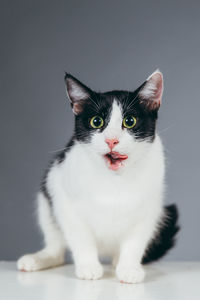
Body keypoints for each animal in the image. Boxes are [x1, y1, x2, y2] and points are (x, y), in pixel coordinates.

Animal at [17, 69, 180, 284]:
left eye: (129, 121)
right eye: (96, 121)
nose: (112, 140)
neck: (113, 180)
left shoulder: (148, 208)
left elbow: (135, 241)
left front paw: (129, 268)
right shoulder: (62, 194)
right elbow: (80, 236)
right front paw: (88, 266)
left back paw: (117, 261)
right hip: (45, 201)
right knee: (57, 248)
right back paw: (39, 259)